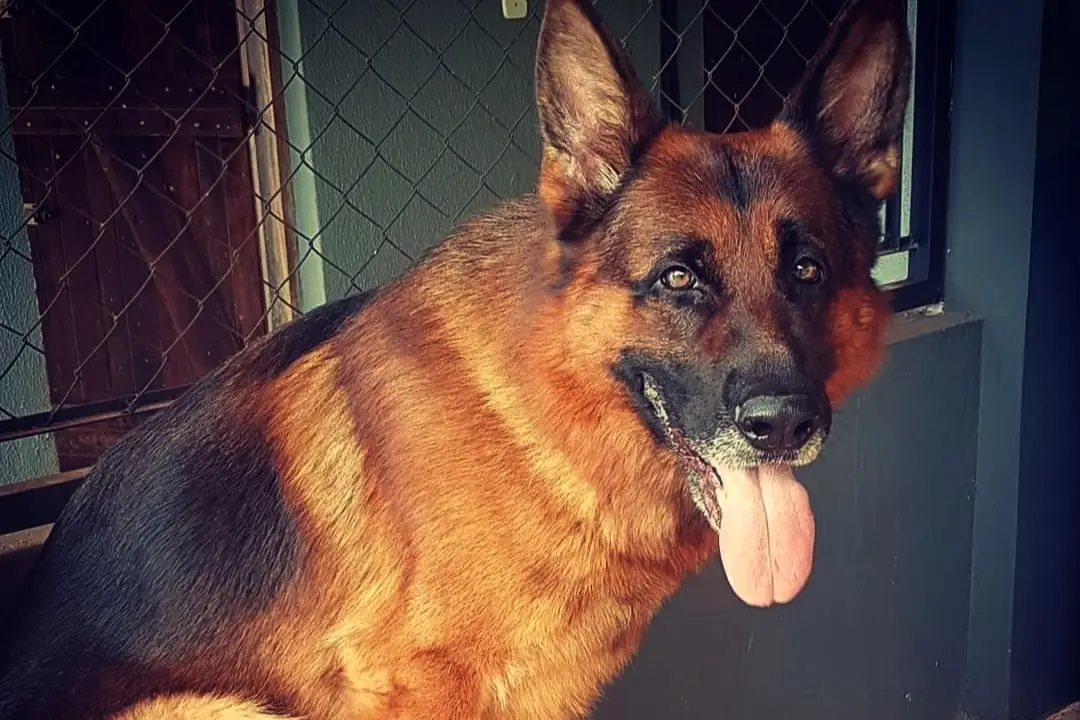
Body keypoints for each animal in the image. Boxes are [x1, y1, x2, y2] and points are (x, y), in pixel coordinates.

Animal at [0, 0, 910, 716]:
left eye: (808, 271)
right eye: (679, 278)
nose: (784, 423)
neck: (539, 415)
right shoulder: (420, 687)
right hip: (215, 708)